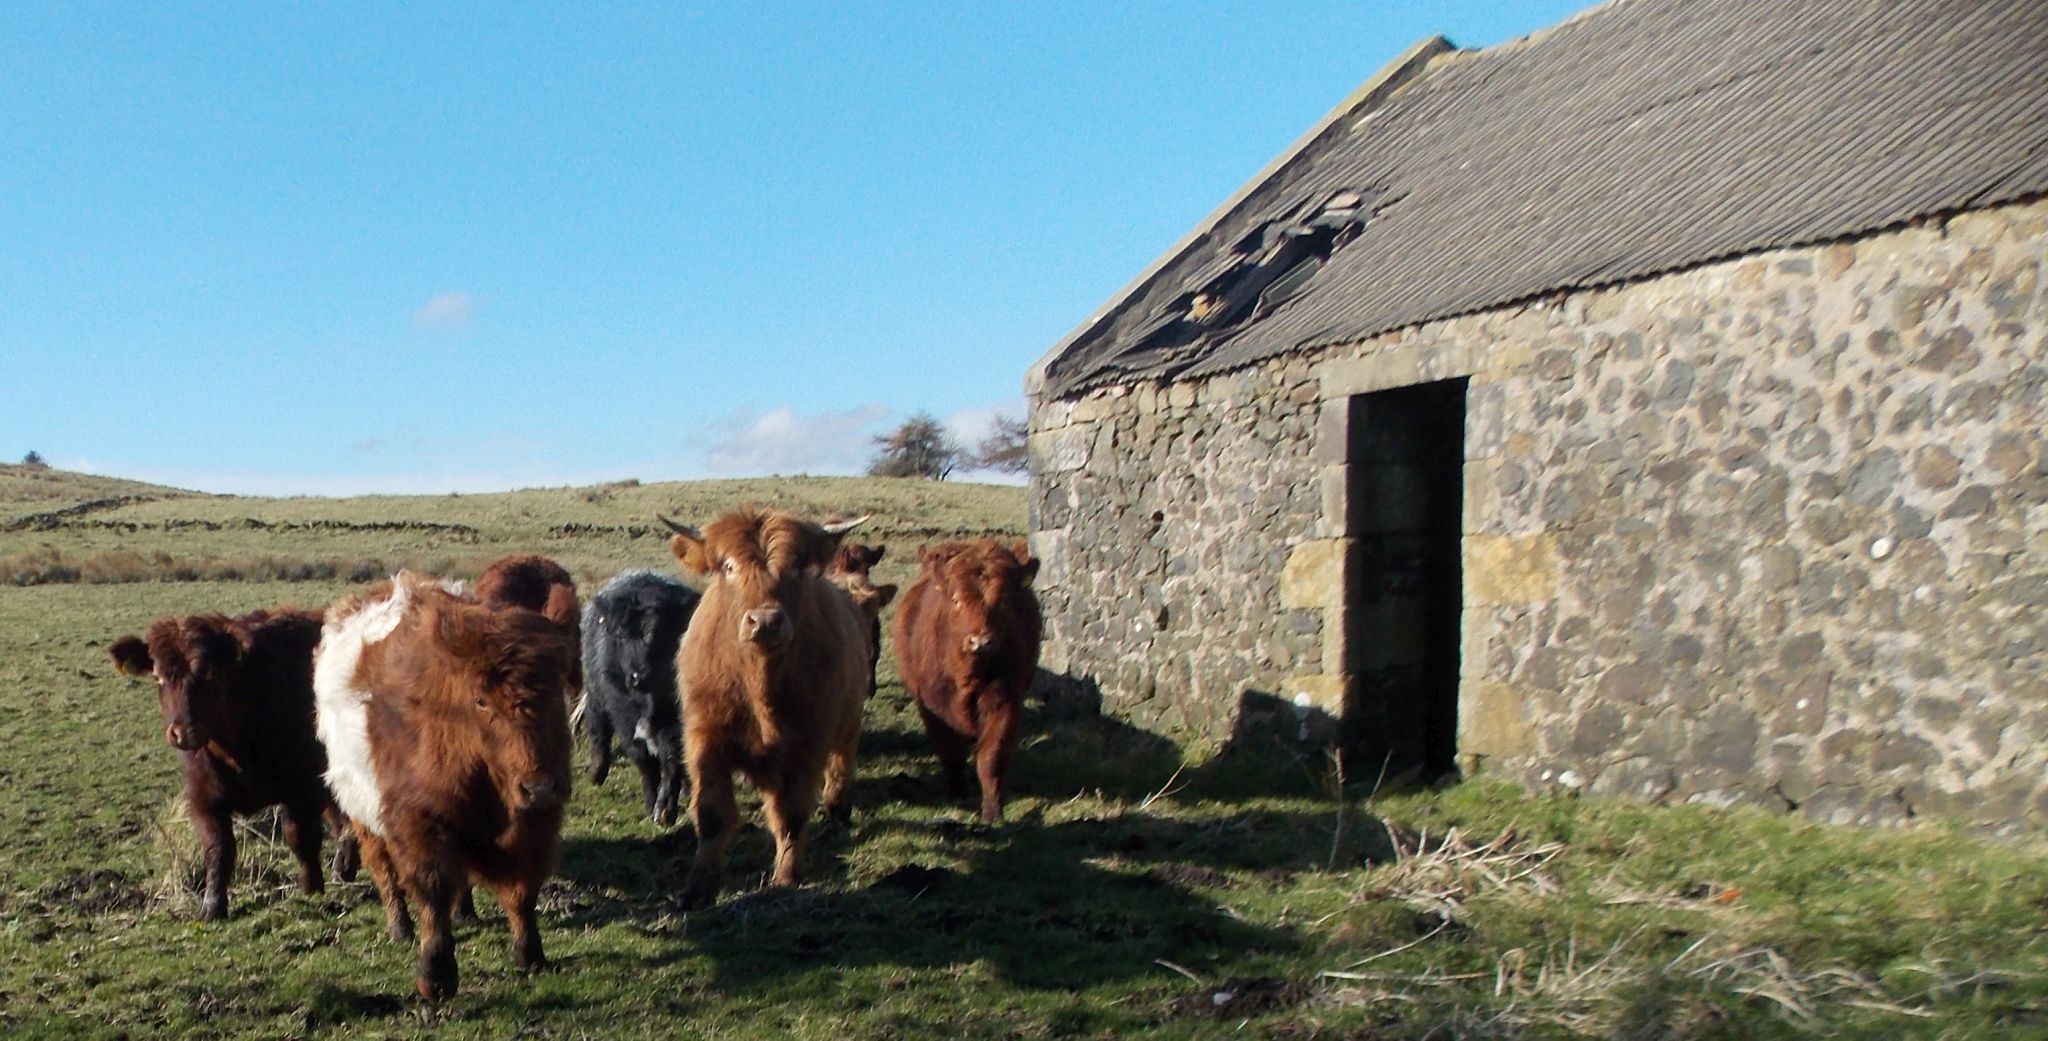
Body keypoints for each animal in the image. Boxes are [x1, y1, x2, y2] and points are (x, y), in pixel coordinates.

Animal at [108, 610, 354, 918]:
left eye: (210, 673)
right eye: (158, 677)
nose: (184, 731)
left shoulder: (301, 789)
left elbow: (298, 836)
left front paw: (312, 887)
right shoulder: (203, 798)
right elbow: (218, 849)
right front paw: (212, 906)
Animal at [315, 573, 581, 995]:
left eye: (557, 689)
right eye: (481, 700)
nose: (540, 787)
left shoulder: (536, 823)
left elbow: (522, 888)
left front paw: (530, 954)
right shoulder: (419, 819)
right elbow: (432, 886)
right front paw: (435, 973)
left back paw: (465, 913)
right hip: (361, 809)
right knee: (385, 871)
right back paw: (400, 926)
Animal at [659, 508, 868, 905]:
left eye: (798, 565)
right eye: (728, 566)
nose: (767, 621)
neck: (759, 685)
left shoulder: (808, 744)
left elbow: (791, 814)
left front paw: (786, 877)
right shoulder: (705, 735)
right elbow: (712, 814)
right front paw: (697, 888)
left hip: (848, 722)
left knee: (841, 762)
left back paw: (837, 806)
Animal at [892, 540, 1040, 823]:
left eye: (1002, 602)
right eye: (957, 600)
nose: (980, 642)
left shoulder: (1004, 703)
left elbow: (991, 758)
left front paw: (992, 811)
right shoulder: (931, 708)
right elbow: (950, 752)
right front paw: (958, 794)